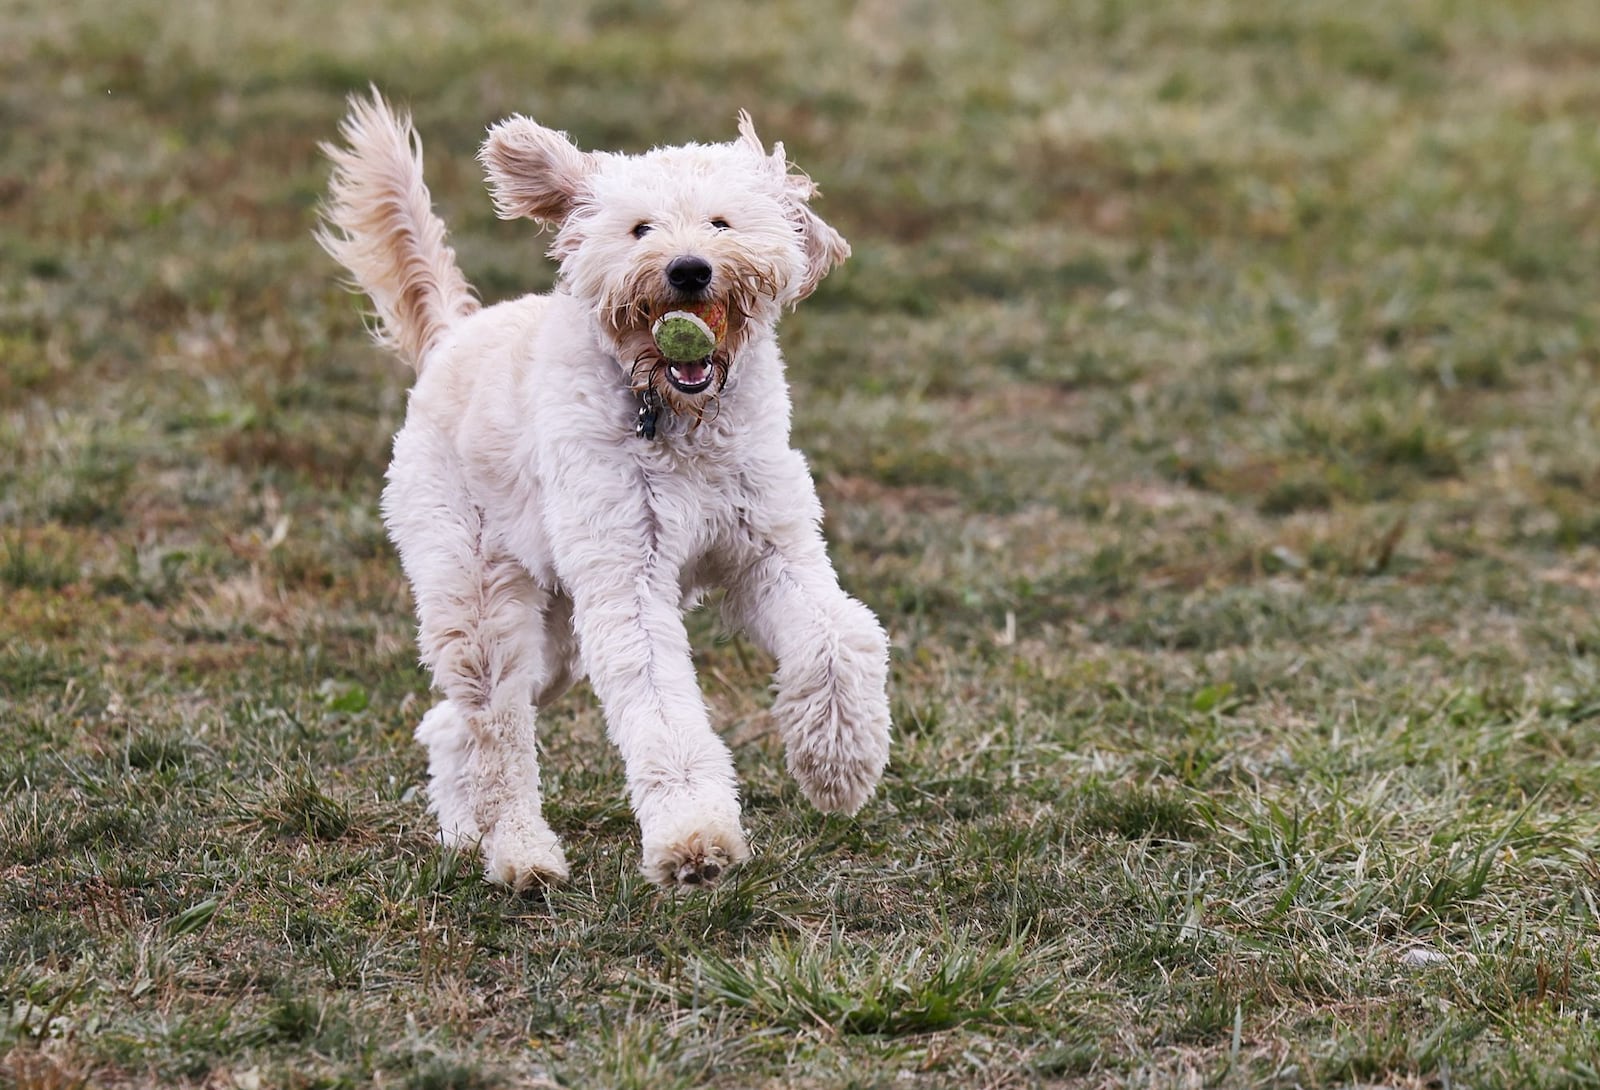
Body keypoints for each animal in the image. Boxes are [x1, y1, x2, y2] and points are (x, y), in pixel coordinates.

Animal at [312, 91, 889, 889]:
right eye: (640, 228)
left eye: (721, 222)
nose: (688, 269)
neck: (676, 419)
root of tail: (453, 336)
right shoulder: (626, 580)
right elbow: (661, 709)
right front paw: (694, 837)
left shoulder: (772, 550)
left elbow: (843, 638)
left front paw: (839, 767)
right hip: (478, 596)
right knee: (495, 730)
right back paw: (520, 854)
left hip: (557, 637)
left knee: (452, 723)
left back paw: (466, 831)